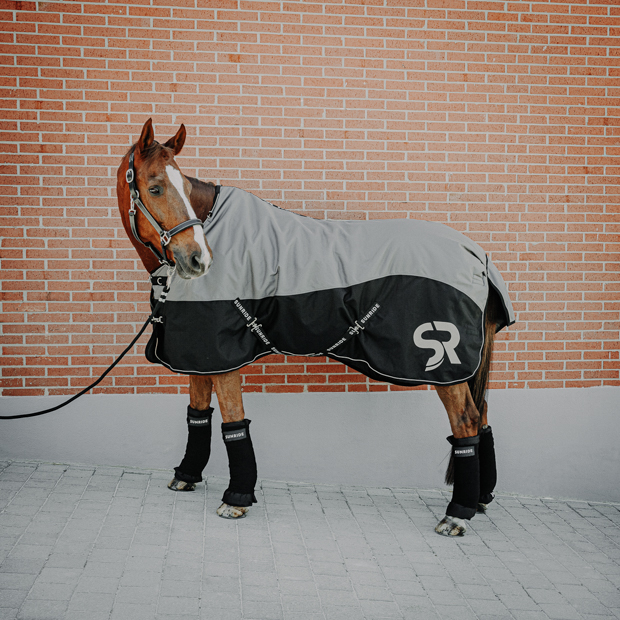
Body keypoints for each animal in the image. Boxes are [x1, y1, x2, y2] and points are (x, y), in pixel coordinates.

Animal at [116, 118, 512, 536]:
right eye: (155, 188)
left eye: (187, 190)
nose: (198, 259)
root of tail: (477, 255)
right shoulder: (201, 352)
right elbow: (198, 413)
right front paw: (187, 476)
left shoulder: (223, 354)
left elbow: (233, 420)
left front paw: (237, 497)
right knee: (483, 416)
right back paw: (479, 499)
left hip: (446, 364)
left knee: (467, 422)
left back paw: (457, 513)